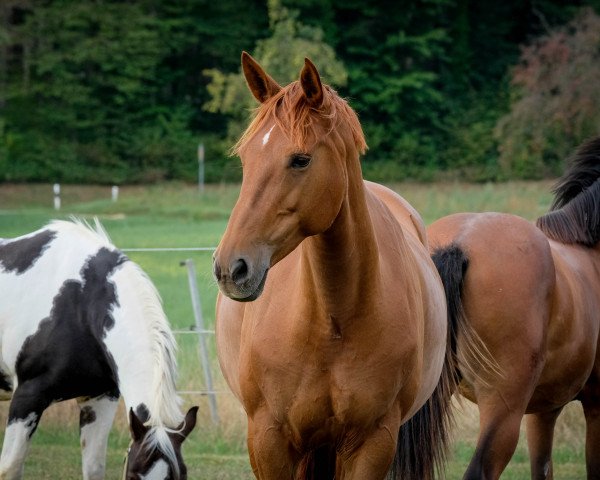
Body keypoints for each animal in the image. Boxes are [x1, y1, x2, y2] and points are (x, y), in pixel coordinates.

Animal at [0, 220, 198, 480]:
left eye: (181, 475)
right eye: (133, 474)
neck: (78, 303)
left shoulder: (100, 398)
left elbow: (94, 468)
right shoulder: (26, 398)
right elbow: (10, 467)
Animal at [213, 52, 490, 480]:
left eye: (301, 159)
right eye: (246, 159)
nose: (232, 268)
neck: (331, 321)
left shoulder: (373, 442)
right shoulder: (268, 440)